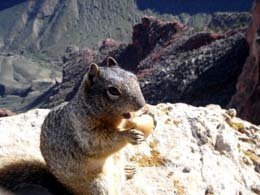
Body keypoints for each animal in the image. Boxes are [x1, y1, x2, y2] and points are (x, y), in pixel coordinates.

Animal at [0, 55, 146, 194]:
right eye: (113, 90)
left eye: (134, 77)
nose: (141, 104)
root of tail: (62, 186)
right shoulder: (82, 127)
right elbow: (99, 142)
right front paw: (129, 135)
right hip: (98, 185)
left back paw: (128, 170)